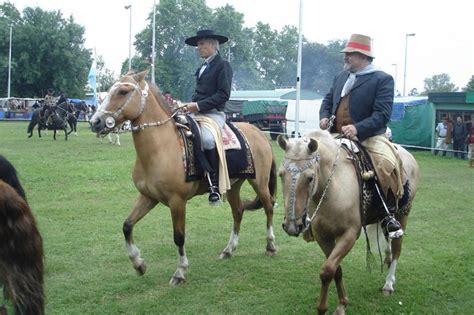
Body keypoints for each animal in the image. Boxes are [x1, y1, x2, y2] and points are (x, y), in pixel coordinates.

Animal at [88, 71, 278, 286]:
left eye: (122, 91)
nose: (95, 122)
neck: (161, 148)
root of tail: (259, 133)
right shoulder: (148, 197)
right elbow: (127, 225)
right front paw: (138, 264)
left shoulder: (177, 202)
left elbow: (179, 237)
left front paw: (180, 272)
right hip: (233, 186)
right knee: (238, 211)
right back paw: (228, 250)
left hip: (259, 183)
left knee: (269, 207)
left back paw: (270, 246)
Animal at [278, 130, 418, 314]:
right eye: (281, 174)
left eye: (310, 177)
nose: (291, 226)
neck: (332, 188)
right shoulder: (323, 236)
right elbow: (335, 269)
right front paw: (342, 303)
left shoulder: (349, 235)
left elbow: (327, 270)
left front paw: (325, 307)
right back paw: (387, 259)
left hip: (403, 213)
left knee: (397, 248)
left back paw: (388, 284)